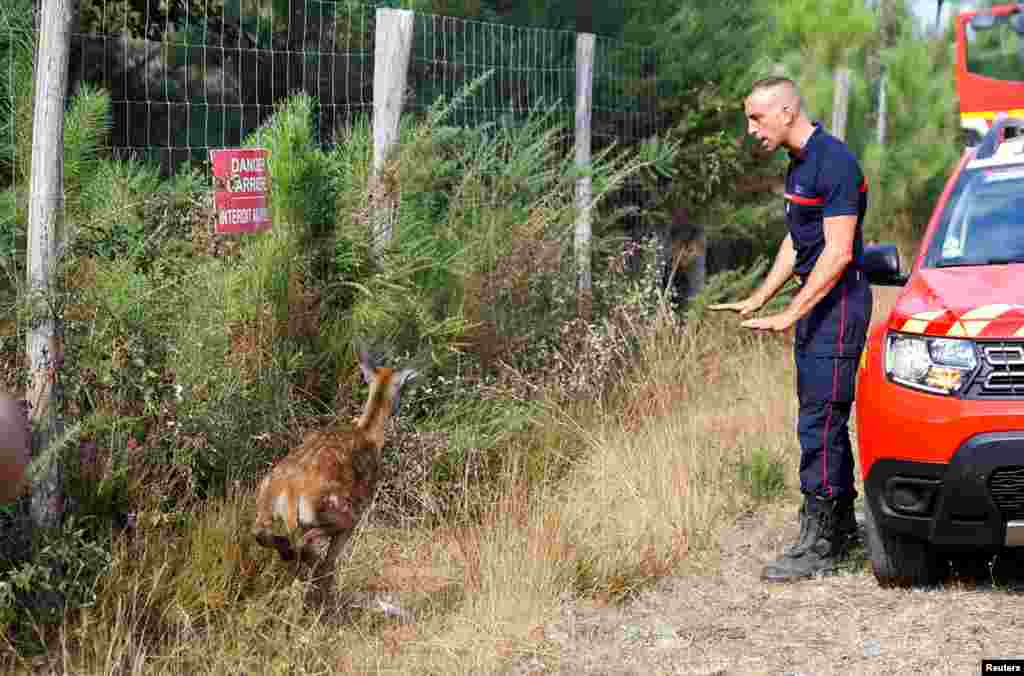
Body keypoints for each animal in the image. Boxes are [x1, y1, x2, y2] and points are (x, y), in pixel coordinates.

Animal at [251, 348, 415, 598]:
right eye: (403, 386)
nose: (400, 406)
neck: (369, 434)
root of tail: (287, 490)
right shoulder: (359, 510)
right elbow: (332, 559)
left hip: (265, 507)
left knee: (262, 534)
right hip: (332, 512)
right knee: (308, 545)